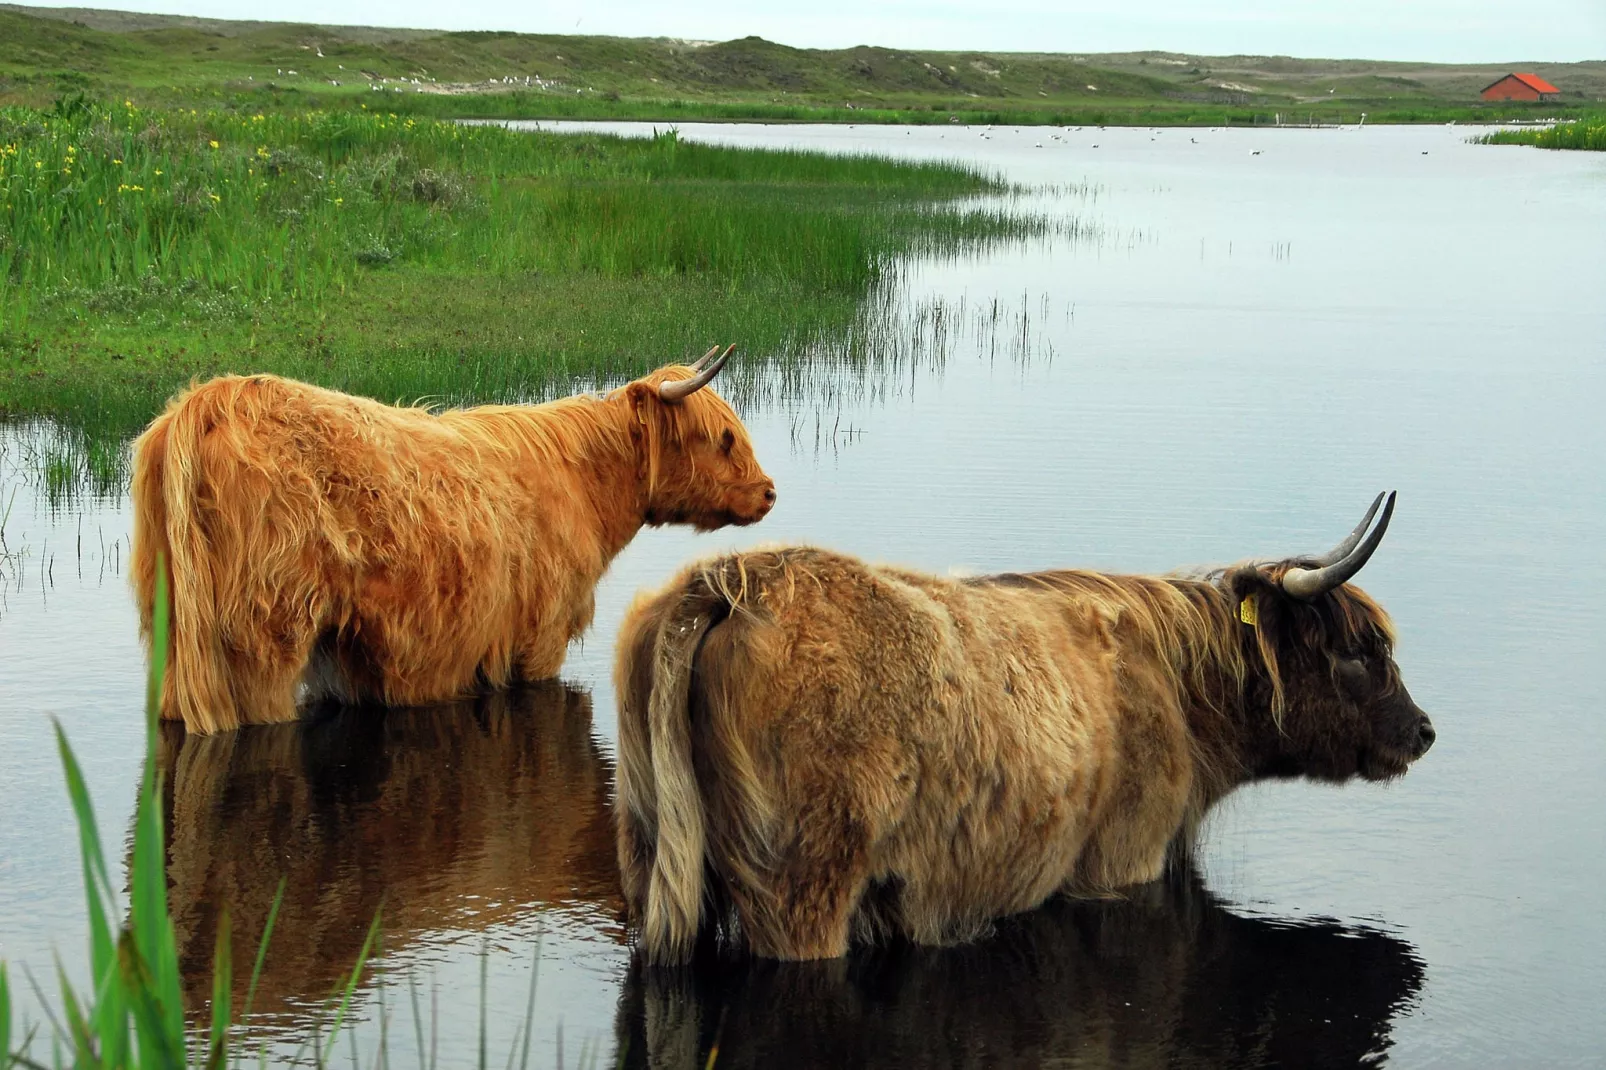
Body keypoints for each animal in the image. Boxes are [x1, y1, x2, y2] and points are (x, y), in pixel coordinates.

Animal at [610, 491, 1432, 957]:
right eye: (1360, 651)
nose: (1424, 731)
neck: (1181, 696)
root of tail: (727, 580)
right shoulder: (1123, 859)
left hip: (652, 861)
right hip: (803, 887)